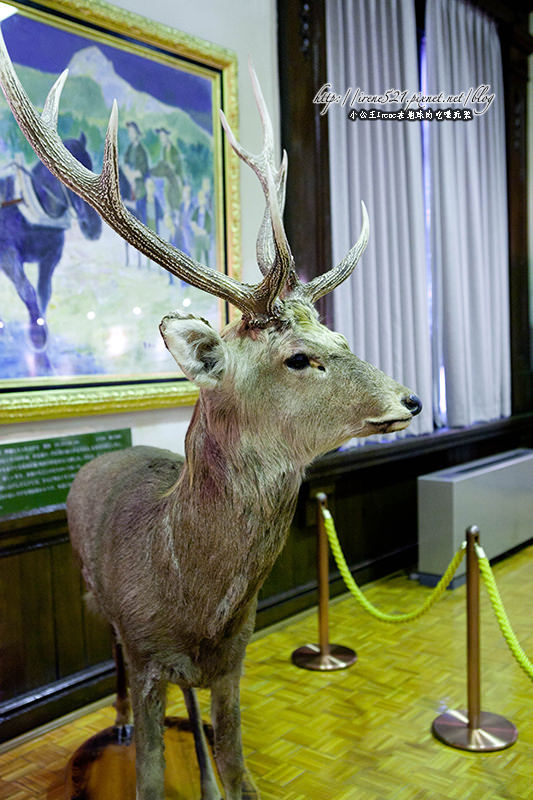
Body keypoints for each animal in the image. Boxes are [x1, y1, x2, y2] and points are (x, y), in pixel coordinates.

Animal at [0, 36, 422, 800]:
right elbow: (145, 779)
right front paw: (148, 752)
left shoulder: (235, 660)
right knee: (115, 665)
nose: (410, 400)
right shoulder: (144, 648)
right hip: (96, 600)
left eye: (340, 339)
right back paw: (124, 723)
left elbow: (237, 766)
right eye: (297, 358)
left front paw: (214, 773)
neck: (190, 601)